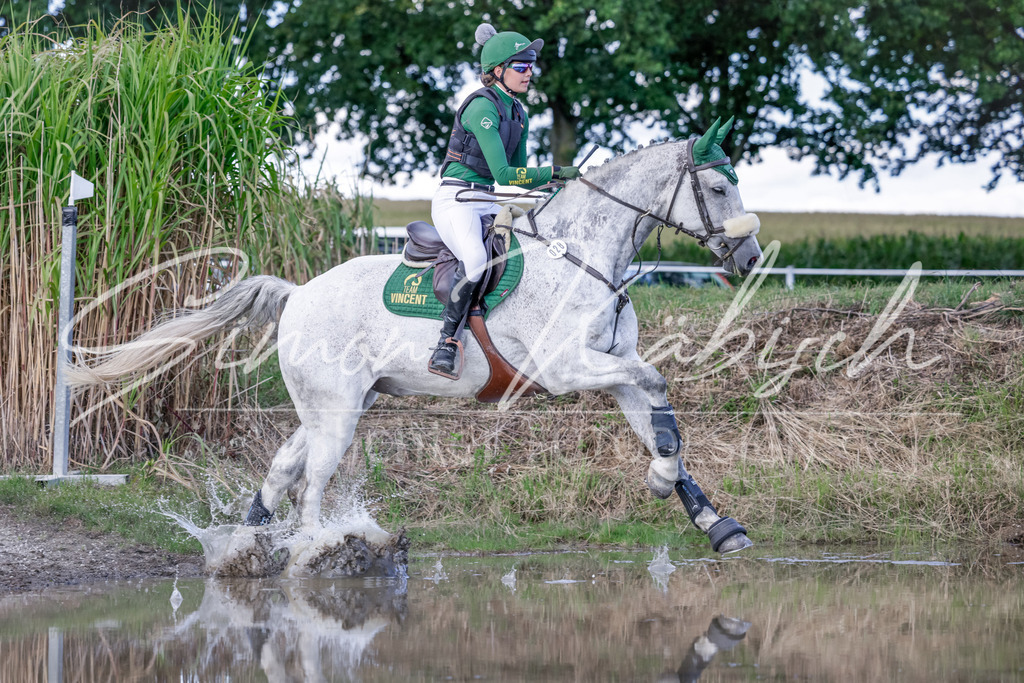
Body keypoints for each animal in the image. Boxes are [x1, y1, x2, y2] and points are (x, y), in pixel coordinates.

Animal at [69, 118, 764, 555]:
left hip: (339, 403)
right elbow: (659, 381)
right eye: (719, 186)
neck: (584, 254)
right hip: (339, 410)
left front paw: (714, 522)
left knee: (285, 468)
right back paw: (316, 548)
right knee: (312, 484)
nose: (752, 258)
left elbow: (659, 420)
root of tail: (298, 294)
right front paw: (660, 480)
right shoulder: (569, 366)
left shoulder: (612, 365)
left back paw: (247, 542)